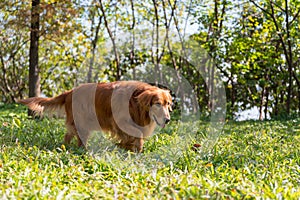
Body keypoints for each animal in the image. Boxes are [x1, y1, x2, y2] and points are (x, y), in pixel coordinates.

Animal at [18, 80, 172, 152]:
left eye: (168, 104)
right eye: (158, 104)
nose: (168, 120)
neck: (135, 101)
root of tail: (69, 92)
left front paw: (127, 147)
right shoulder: (120, 122)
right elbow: (136, 136)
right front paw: (132, 149)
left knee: (69, 135)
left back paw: (66, 147)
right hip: (81, 122)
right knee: (78, 138)